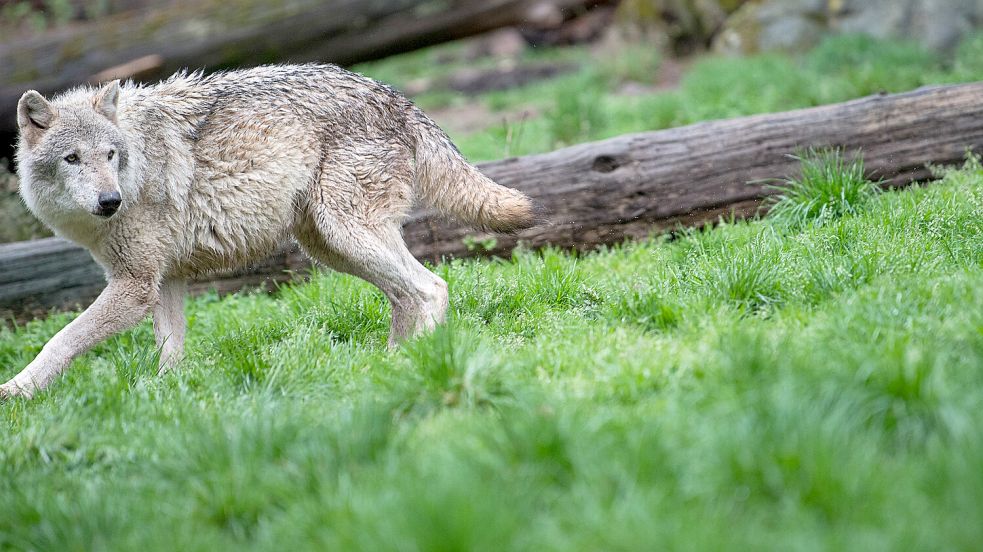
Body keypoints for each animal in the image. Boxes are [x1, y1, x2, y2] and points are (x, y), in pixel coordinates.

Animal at [1, 64, 540, 398]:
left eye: (110, 155)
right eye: (73, 159)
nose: (109, 202)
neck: (137, 163)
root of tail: (397, 97)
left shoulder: (134, 286)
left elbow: (60, 341)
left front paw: (16, 392)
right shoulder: (164, 281)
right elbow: (169, 353)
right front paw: (164, 400)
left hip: (344, 236)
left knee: (432, 288)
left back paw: (415, 365)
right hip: (331, 247)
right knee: (406, 296)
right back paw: (388, 365)